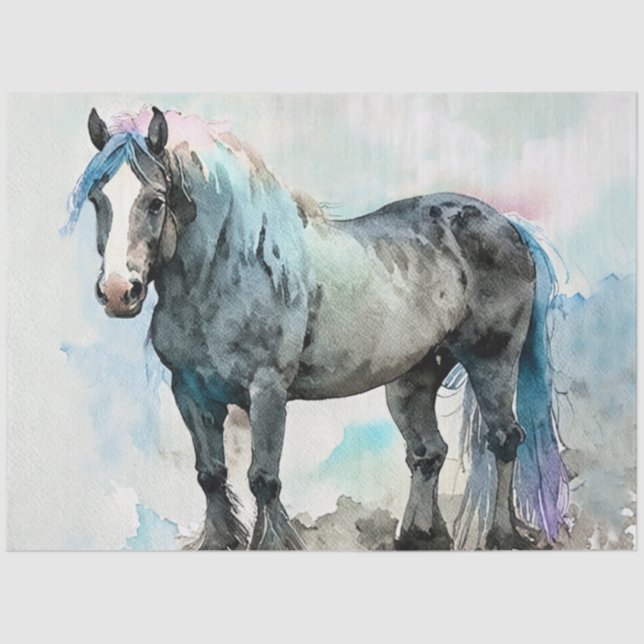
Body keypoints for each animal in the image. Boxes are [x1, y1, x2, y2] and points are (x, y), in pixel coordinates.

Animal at [65, 105, 569, 550]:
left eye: (155, 201)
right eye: (97, 200)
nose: (118, 291)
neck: (226, 273)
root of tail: (509, 226)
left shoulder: (267, 392)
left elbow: (263, 479)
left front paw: (270, 544)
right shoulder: (190, 392)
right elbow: (211, 476)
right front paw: (218, 541)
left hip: (492, 362)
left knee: (504, 440)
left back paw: (501, 535)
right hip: (414, 376)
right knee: (428, 452)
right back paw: (419, 535)